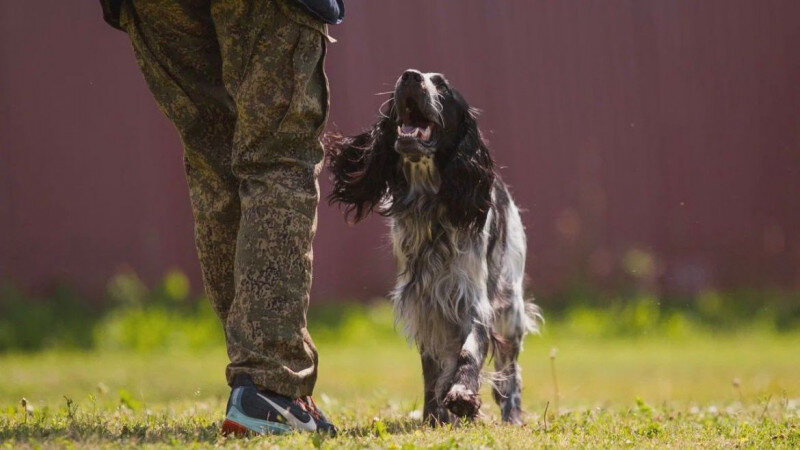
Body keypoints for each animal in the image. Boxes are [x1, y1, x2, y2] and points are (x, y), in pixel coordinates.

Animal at [326, 68, 544, 424]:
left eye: (441, 85)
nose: (410, 76)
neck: (430, 203)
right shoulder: (424, 302)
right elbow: (432, 368)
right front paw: (435, 414)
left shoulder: (473, 302)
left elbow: (469, 353)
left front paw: (463, 395)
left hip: (510, 308)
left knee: (510, 372)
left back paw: (512, 416)